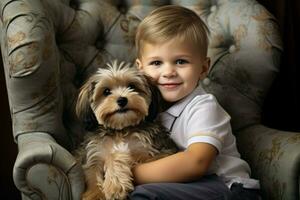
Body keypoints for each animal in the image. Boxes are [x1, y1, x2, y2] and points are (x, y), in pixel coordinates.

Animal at [75, 60, 178, 199]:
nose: (122, 100)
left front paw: (115, 186)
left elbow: (116, 155)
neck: (121, 129)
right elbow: (92, 175)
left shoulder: (160, 153)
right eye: (106, 91)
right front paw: (95, 194)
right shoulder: (93, 155)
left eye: (132, 86)